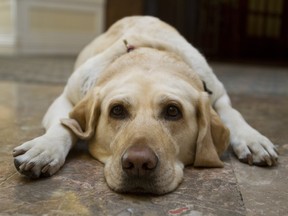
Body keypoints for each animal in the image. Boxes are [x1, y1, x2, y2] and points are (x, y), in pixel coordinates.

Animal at [12, 15, 278, 194]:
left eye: (173, 111)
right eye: (117, 110)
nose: (138, 163)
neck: (151, 52)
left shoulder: (218, 95)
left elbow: (233, 114)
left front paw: (253, 139)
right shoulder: (67, 97)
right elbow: (64, 125)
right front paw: (45, 148)